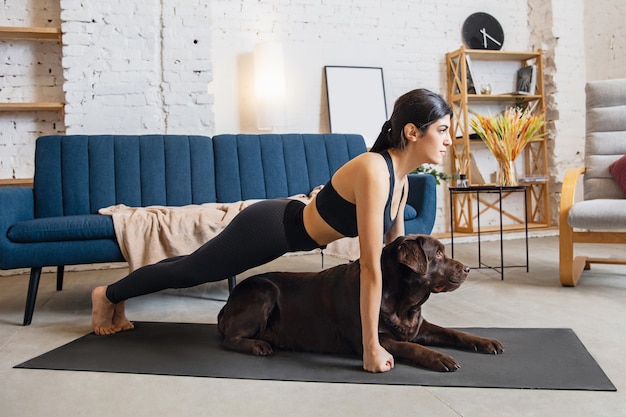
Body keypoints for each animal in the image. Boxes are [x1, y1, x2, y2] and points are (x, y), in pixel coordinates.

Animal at [217, 234, 500, 370]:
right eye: (438, 254)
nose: (467, 269)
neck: (402, 302)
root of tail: (226, 305)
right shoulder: (374, 338)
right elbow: (411, 347)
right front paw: (439, 357)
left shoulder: (421, 326)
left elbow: (454, 332)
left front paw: (486, 342)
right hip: (263, 292)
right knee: (229, 339)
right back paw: (258, 345)